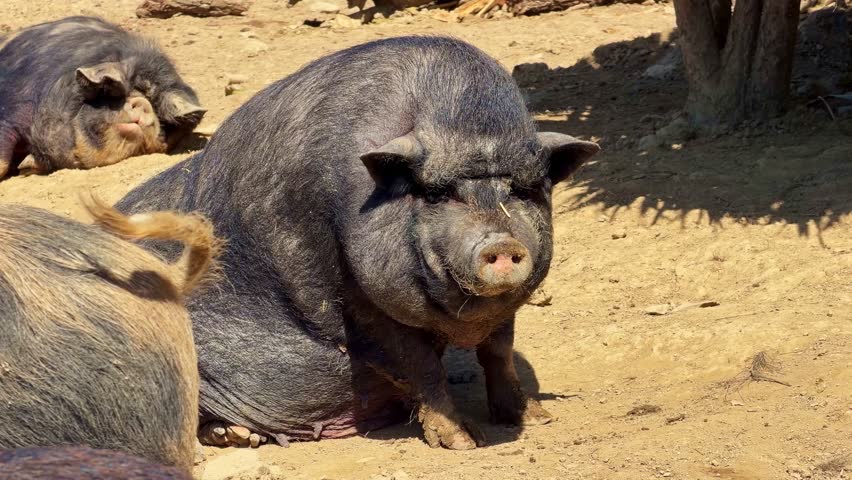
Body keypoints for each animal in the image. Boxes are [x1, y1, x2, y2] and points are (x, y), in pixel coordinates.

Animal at [117, 36, 600, 450]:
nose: (499, 241)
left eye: (523, 190)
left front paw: (534, 418)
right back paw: (234, 437)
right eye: (436, 194)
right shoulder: (356, 298)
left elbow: (499, 350)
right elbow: (419, 364)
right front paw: (464, 442)